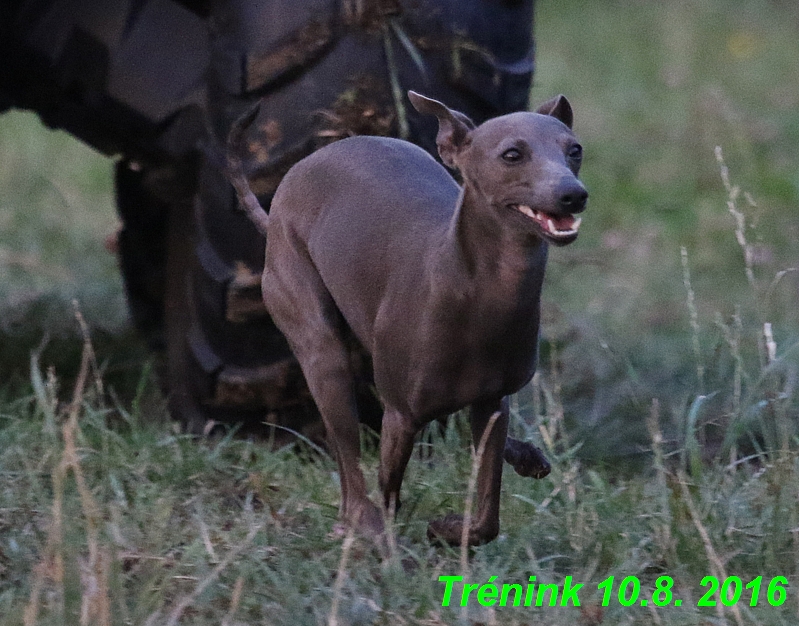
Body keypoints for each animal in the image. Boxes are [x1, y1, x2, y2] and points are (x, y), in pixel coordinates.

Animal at [225, 90, 588, 544]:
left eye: (575, 150)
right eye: (512, 154)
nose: (573, 194)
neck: (482, 292)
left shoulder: (491, 404)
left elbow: (487, 517)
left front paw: (448, 529)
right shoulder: (400, 416)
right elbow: (388, 492)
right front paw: (392, 540)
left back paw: (523, 455)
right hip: (319, 347)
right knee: (349, 465)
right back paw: (355, 522)